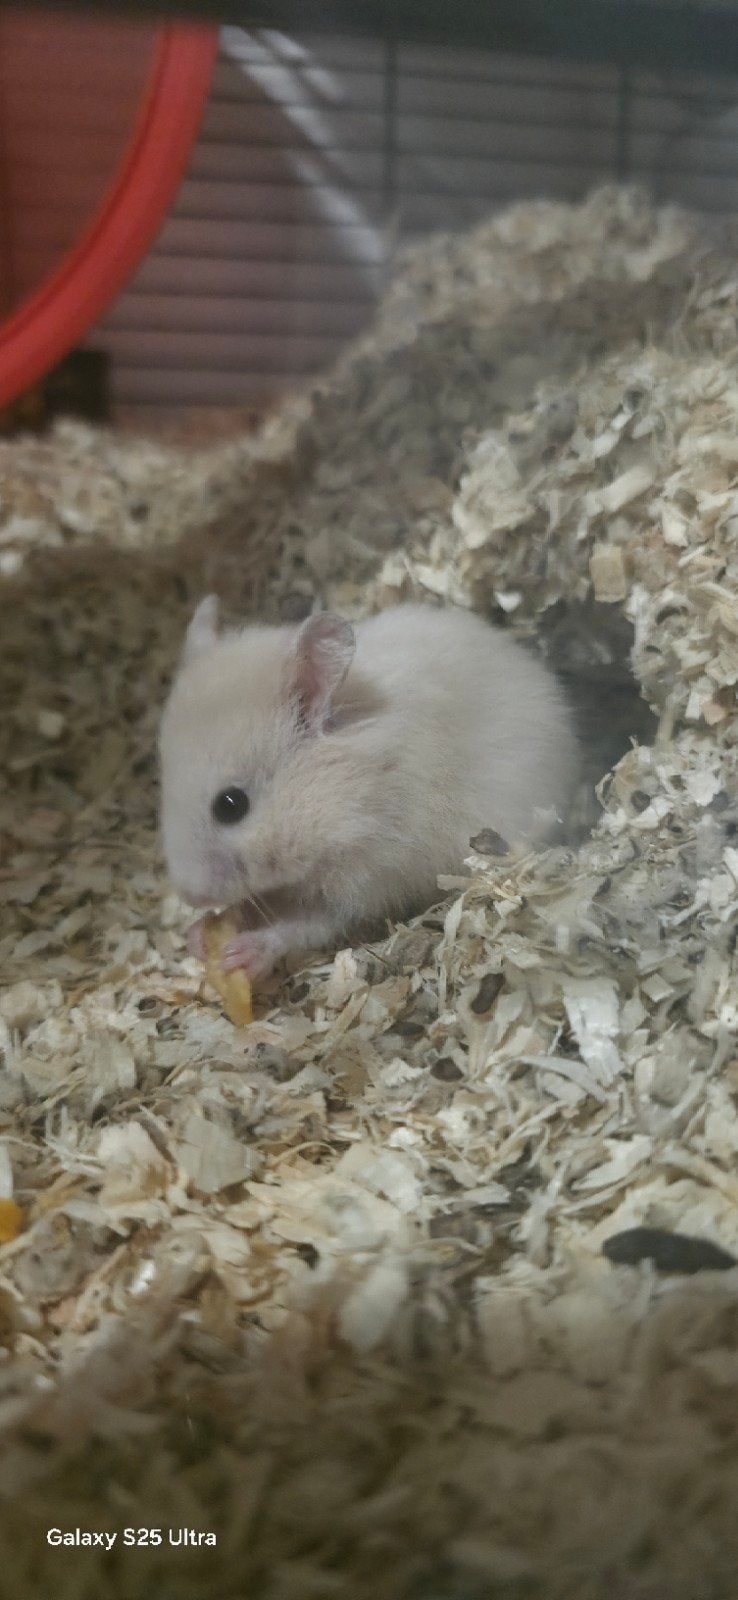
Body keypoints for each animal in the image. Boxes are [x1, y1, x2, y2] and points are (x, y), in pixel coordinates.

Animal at [159, 599, 579, 979]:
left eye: (231, 805)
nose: (189, 896)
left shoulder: (369, 878)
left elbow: (306, 924)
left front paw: (241, 954)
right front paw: (199, 933)